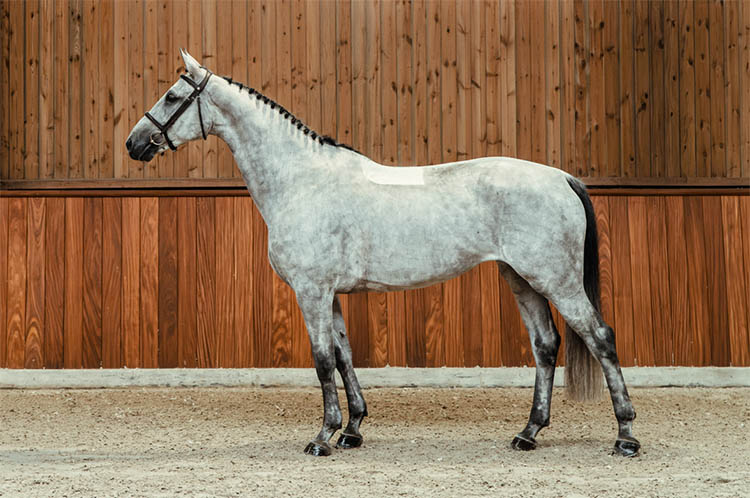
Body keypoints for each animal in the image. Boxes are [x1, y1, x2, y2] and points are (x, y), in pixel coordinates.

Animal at [126, 49, 640, 458]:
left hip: (557, 280)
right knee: (546, 346)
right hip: (521, 279)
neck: (302, 179)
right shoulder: (329, 294)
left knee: (600, 338)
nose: (134, 144)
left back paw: (626, 436)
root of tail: (560, 177)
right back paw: (529, 433)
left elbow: (321, 360)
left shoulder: (312, 292)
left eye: (172, 96)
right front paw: (352, 429)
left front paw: (323, 437)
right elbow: (344, 355)